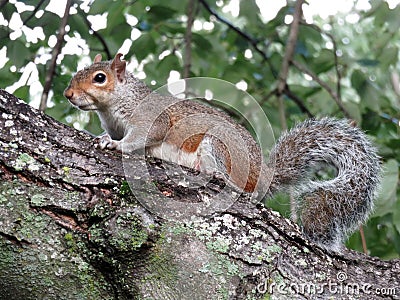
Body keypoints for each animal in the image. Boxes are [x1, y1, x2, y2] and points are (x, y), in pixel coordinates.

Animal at [64, 52, 380, 252]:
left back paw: (214, 176)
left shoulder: (152, 118)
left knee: (234, 182)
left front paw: (116, 145)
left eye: (100, 78)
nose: (68, 95)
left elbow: (142, 138)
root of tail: (262, 172)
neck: (113, 106)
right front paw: (103, 137)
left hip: (217, 145)